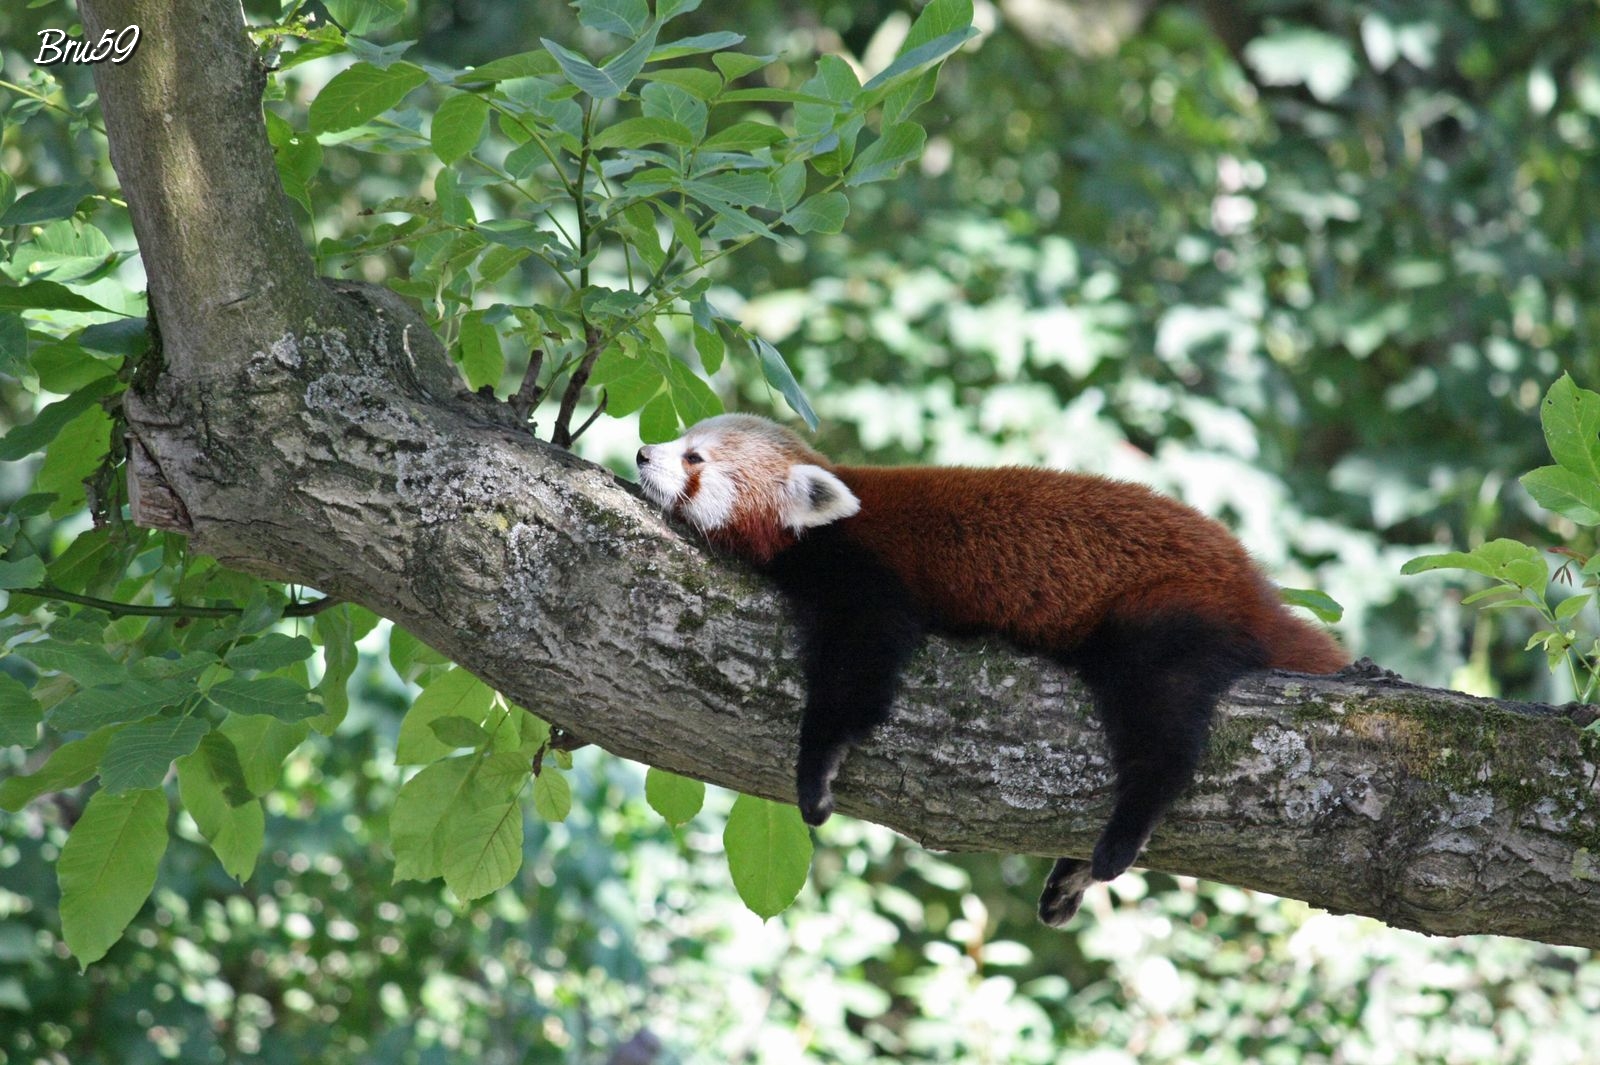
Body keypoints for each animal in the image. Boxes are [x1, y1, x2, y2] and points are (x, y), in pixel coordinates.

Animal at [636, 409, 1350, 927]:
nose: (643, 453)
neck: (827, 526)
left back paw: (1117, 842)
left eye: (695, 459)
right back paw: (1070, 877)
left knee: (1164, 732)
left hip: (1167, 611)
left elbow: (859, 679)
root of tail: (1255, 587)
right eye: (679, 438)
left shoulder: (870, 579)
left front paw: (816, 774)